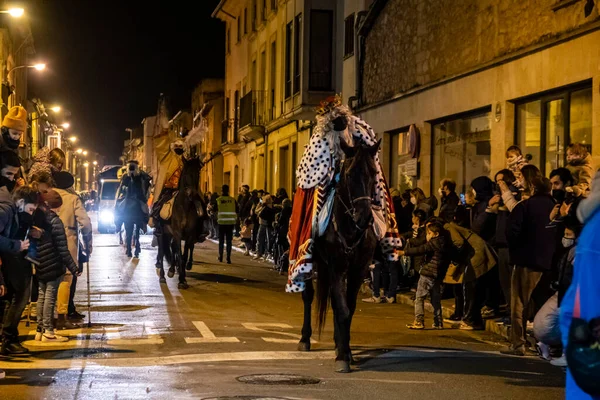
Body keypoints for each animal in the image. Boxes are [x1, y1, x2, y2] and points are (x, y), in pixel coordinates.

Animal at [156, 155, 207, 288]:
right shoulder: (178, 233)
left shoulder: (190, 235)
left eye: (198, 173)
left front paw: (183, 278)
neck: (185, 207)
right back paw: (162, 276)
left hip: (170, 234)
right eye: (187, 173)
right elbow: (178, 252)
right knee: (162, 251)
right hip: (162, 233)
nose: (192, 194)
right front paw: (179, 277)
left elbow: (183, 255)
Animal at [296, 139, 380, 374]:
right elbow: (341, 309)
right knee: (309, 296)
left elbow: (347, 309)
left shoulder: (358, 269)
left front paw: (346, 350)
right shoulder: (337, 267)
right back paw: (305, 339)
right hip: (314, 263)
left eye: (374, 173)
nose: (365, 217)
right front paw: (343, 357)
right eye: (350, 174)